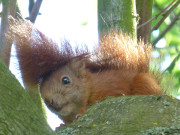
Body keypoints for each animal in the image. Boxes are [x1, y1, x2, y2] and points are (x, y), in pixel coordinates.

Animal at [7, 18, 162, 125]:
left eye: (66, 80)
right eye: (42, 91)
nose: (50, 101)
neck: (91, 87)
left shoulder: (112, 86)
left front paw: (82, 112)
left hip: (144, 82)